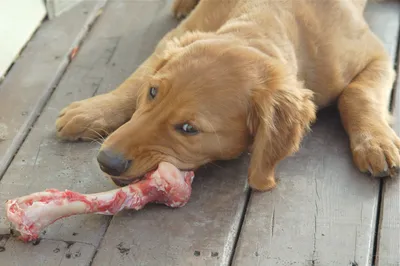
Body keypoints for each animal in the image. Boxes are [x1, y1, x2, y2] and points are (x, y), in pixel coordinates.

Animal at [55, 0, 400, 191]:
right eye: (153, 93)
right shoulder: (178, 35)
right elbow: (138, 76)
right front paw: (91, 110)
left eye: (189, 129)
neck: (267, 19)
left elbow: (357, 92)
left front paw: (376, 143)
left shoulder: (377, 55)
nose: (106, 161)